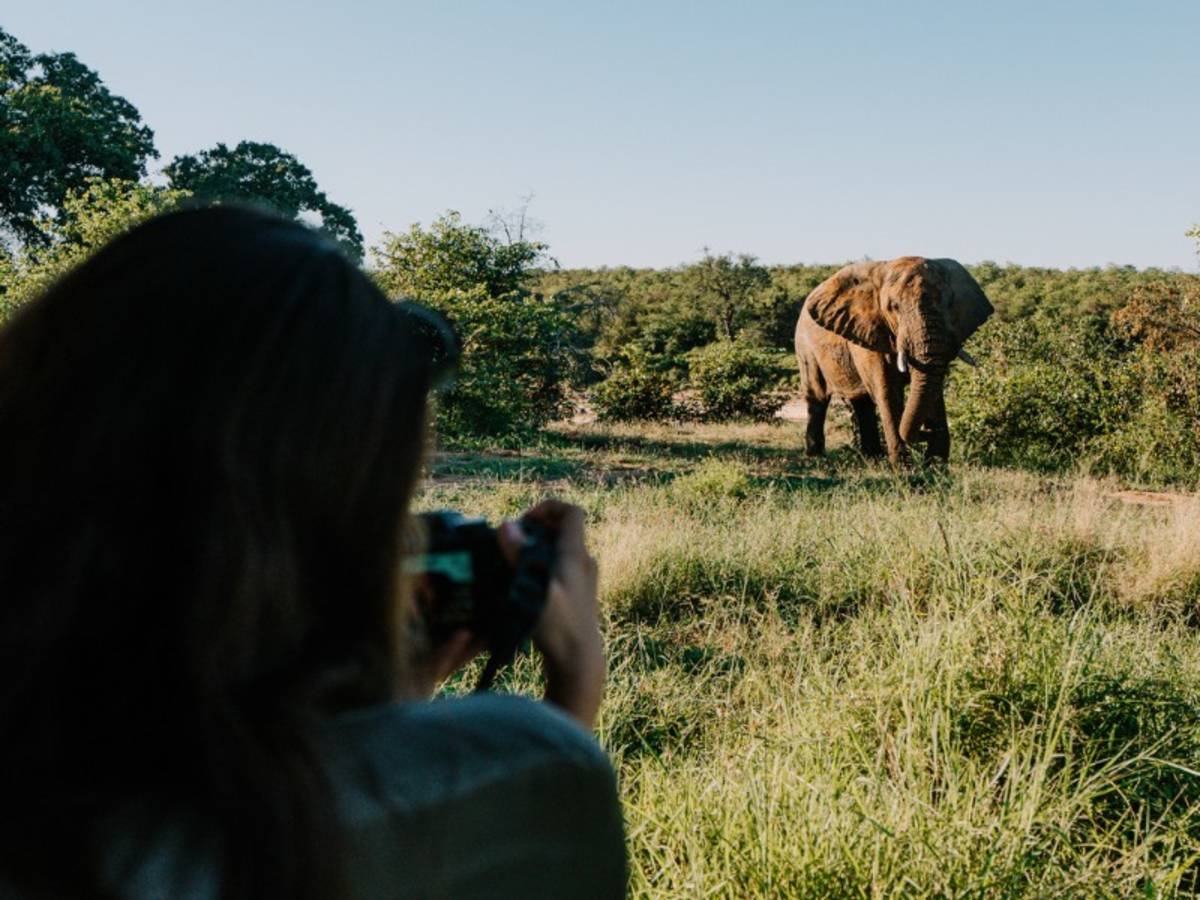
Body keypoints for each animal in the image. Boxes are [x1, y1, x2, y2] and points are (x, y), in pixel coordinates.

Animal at [794, 256, 993, 463]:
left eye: (949, 304)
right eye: (893, 307)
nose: (926, 433)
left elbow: (934, 391)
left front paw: (936, 465)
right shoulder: (868, 333)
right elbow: (889, 393)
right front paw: (905, 468)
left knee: (862, 403)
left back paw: (872, 459)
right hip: (804, 347)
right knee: (817, 397)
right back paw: (816, 459)